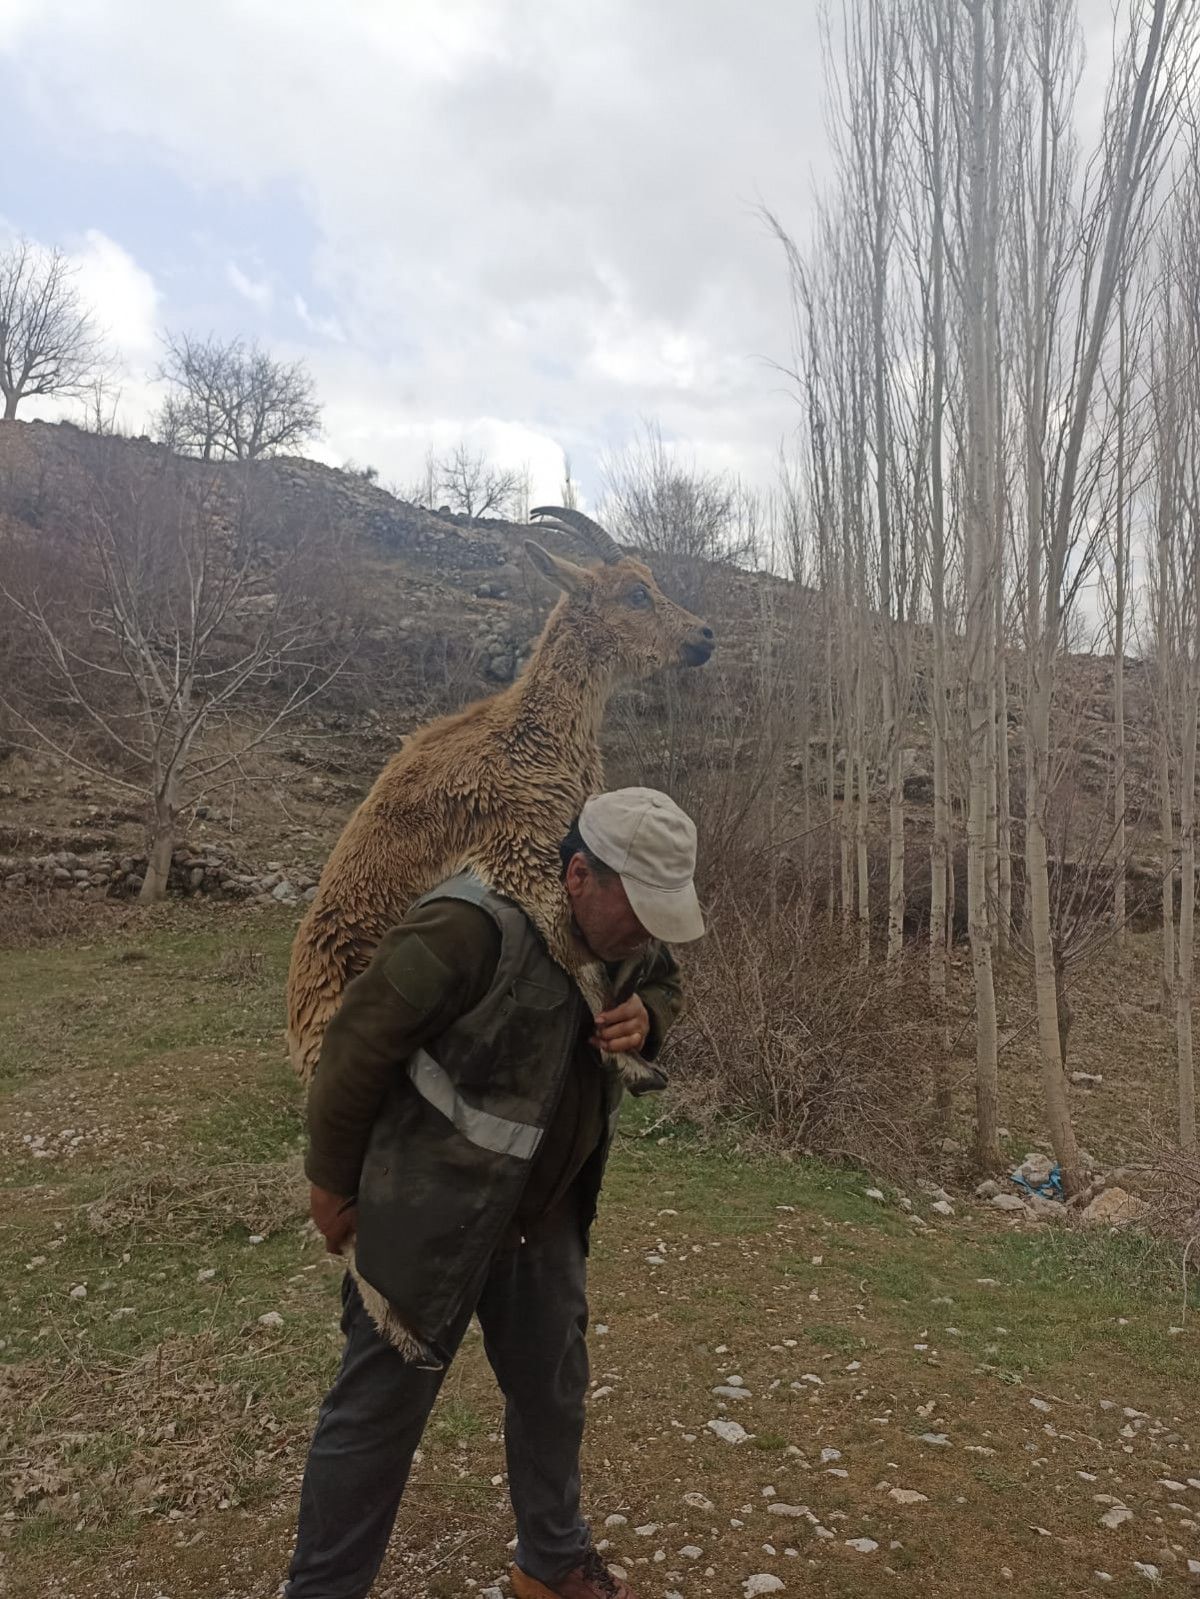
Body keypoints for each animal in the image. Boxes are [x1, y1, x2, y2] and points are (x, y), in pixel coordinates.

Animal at [286, 505, 713, 1093]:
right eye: (636, 594)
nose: (705, 635)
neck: (531, 734)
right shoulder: (518, 845)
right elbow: (577, 954)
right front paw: (635, 1065)